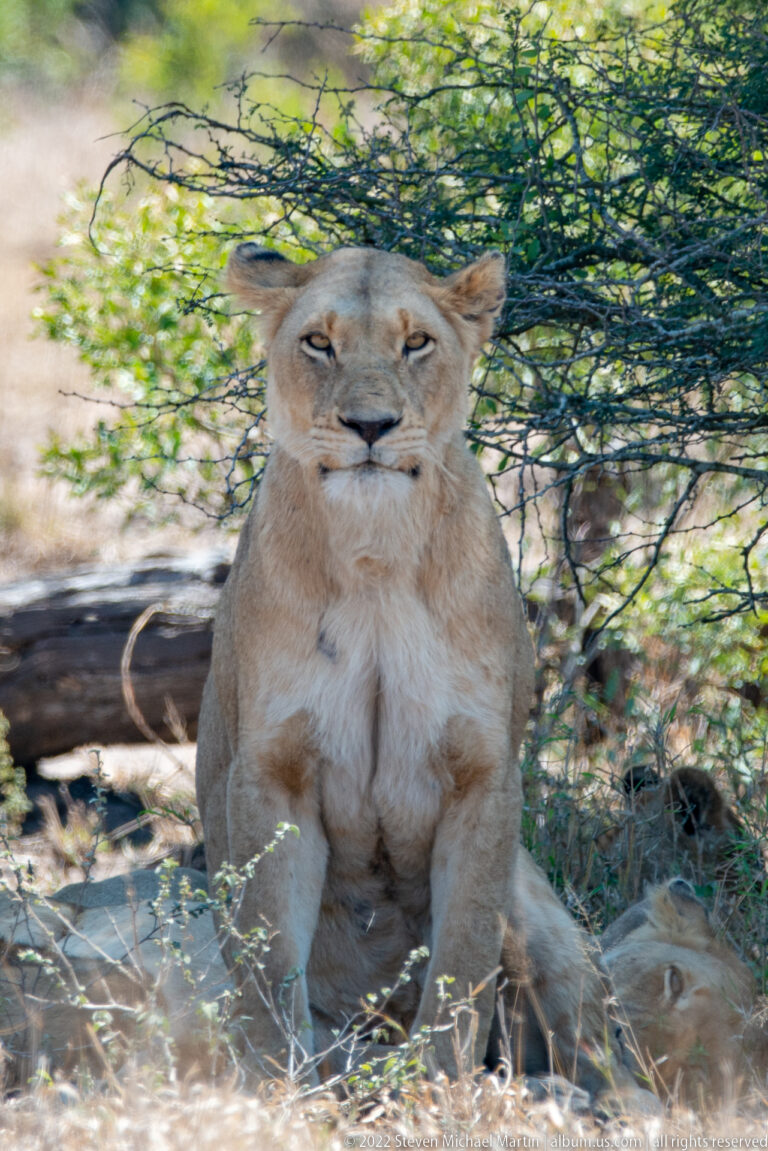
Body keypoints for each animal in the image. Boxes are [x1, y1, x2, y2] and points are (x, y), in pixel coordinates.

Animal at [194, 243, 628, 1087]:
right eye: (318, 343)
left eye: (416, 343)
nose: (370, 425)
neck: (376, 556)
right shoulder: (271, 770)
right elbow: (270, 953)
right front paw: (282, 1082)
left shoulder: (482, 772)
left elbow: (463, 956)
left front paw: (437, 1082)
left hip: (554, 932)